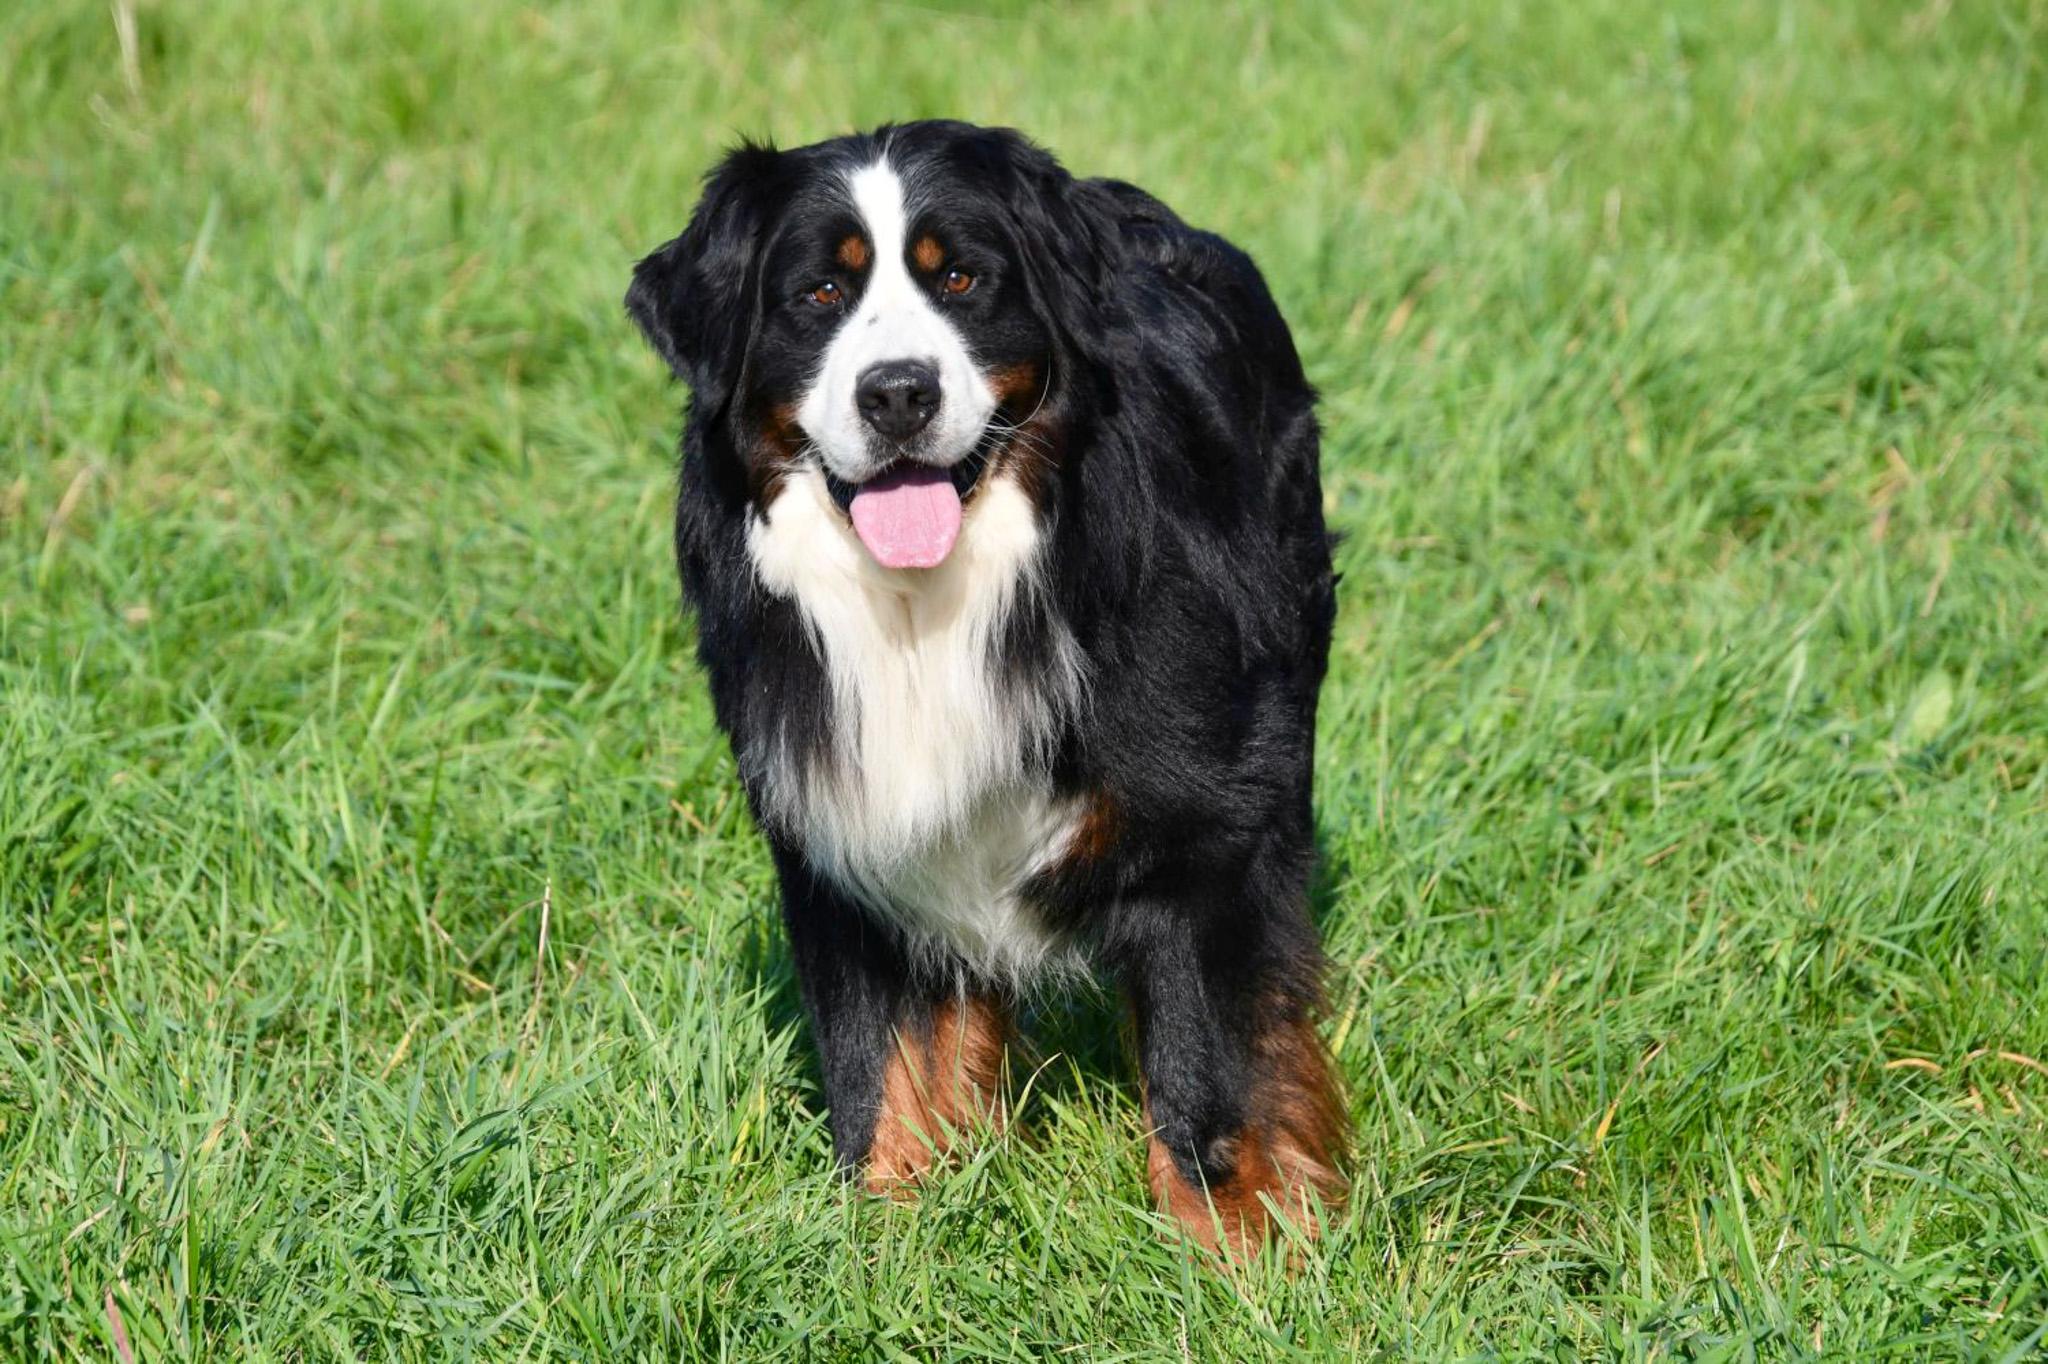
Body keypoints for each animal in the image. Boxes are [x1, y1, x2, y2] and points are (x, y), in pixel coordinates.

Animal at [630, 122, 1351, 1245]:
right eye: (817, 294)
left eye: (962, 278)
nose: (897, 392)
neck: (928, 605)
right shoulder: (842, 835)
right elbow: (879, 1068)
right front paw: (879, 1241)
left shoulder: (1204, 833)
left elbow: (1211, 1074)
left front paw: (1242, 1255)